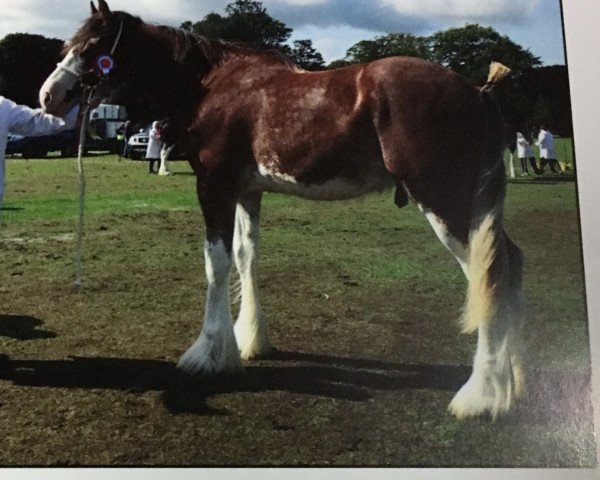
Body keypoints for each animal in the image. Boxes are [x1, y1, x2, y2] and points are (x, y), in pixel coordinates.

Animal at [38, 0, 524, 418]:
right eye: (68, 45)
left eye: (94, 46)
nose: (48, 97)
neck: (213, 85)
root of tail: (476, 93)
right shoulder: (247, 191)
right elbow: (245, 257)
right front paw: (248, 340)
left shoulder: (213, 186)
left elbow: (216, 263)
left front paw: (207, 354)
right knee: (508, 264)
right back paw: (512, 382)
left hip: (444, 202)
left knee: (489, 272)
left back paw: (481, 394)